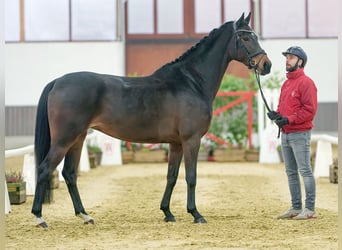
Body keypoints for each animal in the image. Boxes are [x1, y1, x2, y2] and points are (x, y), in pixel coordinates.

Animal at [32, 12, 272, 228]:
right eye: (246, 38)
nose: (266, 65)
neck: (191, 82)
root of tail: (57, 81)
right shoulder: (191, 140)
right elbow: (191, 177)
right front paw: (196, 214)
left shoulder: (176, 144)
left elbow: (171, 177)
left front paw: (167, 213)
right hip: (64, 139)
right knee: (44, 170)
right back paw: (39, 217)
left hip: (78, 138)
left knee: (69, 174)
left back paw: (85, 216)